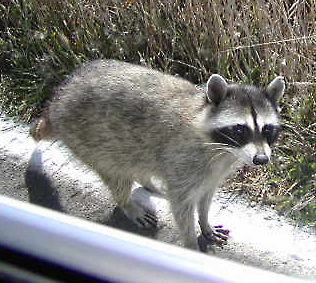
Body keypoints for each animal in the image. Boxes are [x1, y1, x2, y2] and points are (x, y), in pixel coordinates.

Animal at [30, 60, 286, 253]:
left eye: (267, 129)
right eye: (240, 129)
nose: (261, 160)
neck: (223, 148)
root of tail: (58, 99)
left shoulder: (213, 172)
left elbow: (206, 198)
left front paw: (205, 222)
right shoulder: (184, 162)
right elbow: (182, 209)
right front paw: (191, 242)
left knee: (140, 162)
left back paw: (148, 183)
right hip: (87, 137)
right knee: (115, 174)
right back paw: (127, 203)